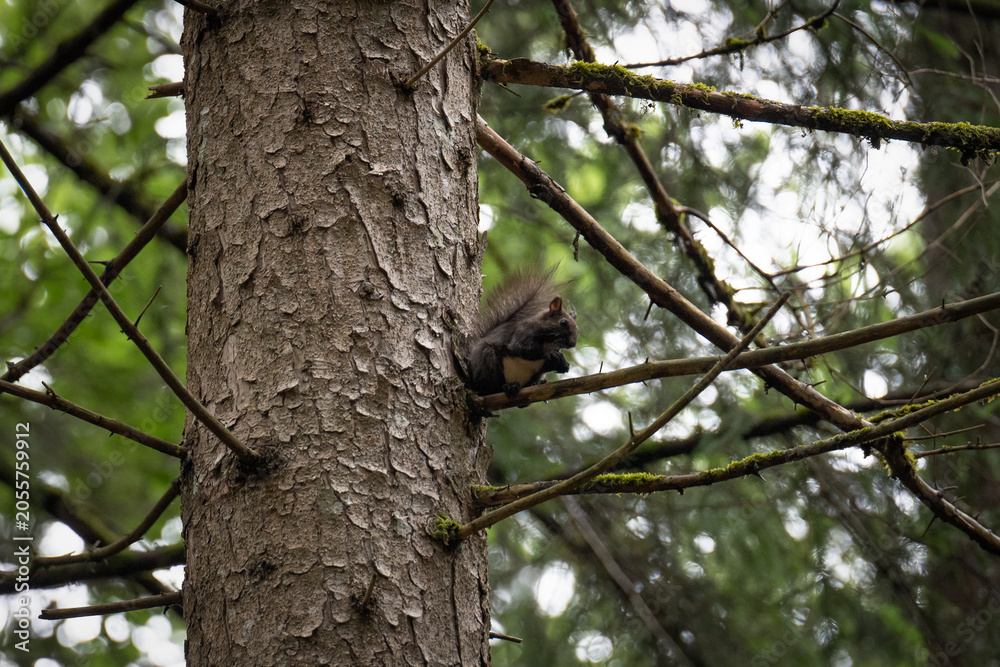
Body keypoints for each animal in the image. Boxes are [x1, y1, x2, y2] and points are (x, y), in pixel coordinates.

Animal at [465, 267, 578, 396]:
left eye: (578, 329)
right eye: (563, 322)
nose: (572, 344)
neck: (549, 342)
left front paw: (563, 364)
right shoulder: (524, 333)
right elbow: (522, 349)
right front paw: (552, 355)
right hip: (486, 361)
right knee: (490, 388)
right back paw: (507, 387)